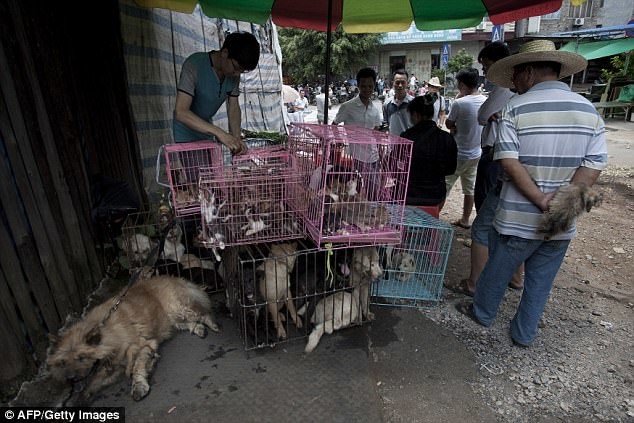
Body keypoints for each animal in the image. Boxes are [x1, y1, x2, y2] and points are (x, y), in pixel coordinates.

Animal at [45, 276, 218, 406]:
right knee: (186, 323)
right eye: (63, 362)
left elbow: (136, 367)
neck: (106, 334)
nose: (70, 378)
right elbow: (94, 382)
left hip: (177, 308)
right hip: (171, 319)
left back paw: (212, 324)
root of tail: (176, 279)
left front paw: (139, 387)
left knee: (202, 313)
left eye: (82, 357)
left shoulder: (143, 346)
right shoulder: (111, 367)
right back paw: (198, 328)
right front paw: (81, 398)